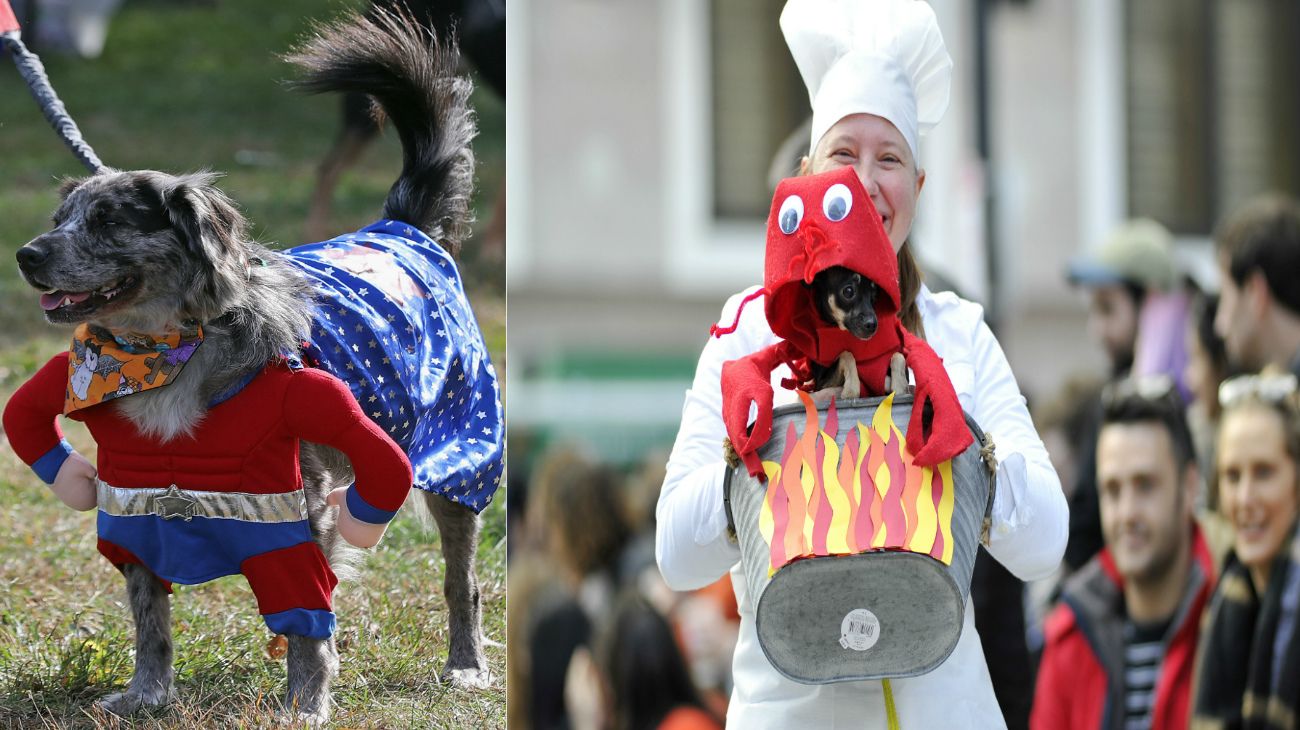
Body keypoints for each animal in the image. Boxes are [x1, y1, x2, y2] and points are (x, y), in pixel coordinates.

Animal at [11, 8, 491, 717]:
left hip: (458, 459)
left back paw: (465, 664)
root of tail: (402, 228)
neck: (166, 352)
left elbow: (310, 620)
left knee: (464, 581)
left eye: (106, 220)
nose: (26, 255)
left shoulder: (302, 516)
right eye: (59, 217)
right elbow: (149, 617)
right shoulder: (137, 506)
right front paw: (146, 694)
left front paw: (307, 701)